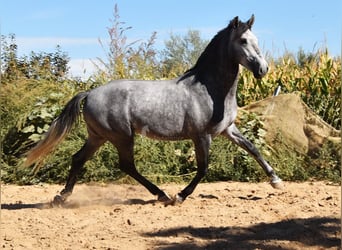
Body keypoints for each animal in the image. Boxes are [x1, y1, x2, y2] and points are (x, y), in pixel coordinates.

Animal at [25, 16, 284, 207]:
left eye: (255, 38)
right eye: (243, 40)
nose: (263, 69)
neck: (209, 89)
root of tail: (89, 93)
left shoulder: (227, 129)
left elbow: (253, 148)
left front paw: (276, 181)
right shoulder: (201, 135)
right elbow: (203, 168)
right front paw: (180, 196)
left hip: (98, 136)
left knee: (79, 159)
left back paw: (61, 197)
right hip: (121, 136)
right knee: (126, 165)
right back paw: (162, 195)